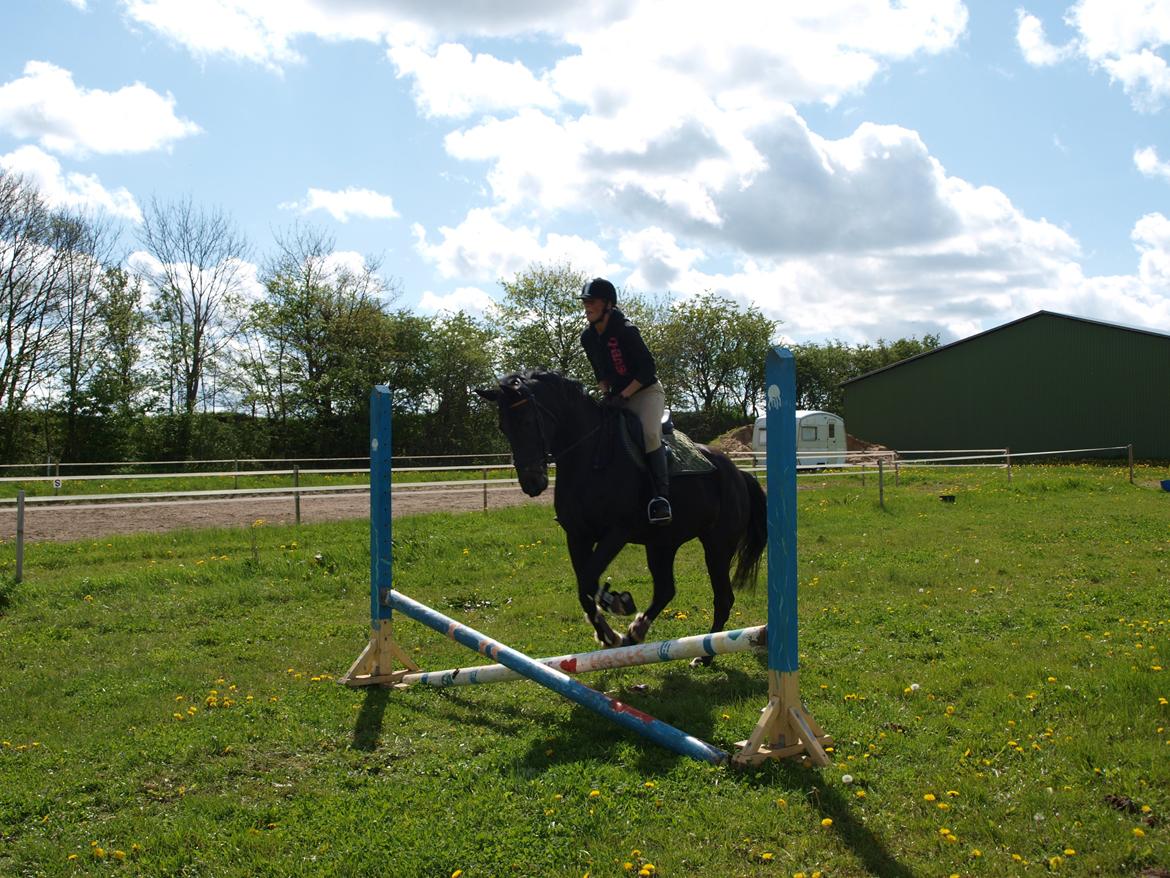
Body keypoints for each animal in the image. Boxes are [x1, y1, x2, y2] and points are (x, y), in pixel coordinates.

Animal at [475, 369, 767, 655]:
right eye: (503, 427)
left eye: (526, 422)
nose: (532, 483)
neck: (589, 456)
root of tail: (738, 474)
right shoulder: (577, 535)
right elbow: (585, 586)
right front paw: (608, 632)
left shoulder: (616, 533)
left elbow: (588, 581)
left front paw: (616, 605)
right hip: (662, 543)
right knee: (665, 590)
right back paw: (636, 631)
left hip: (717, 545)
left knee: (722, 597)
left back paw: (703, 656)